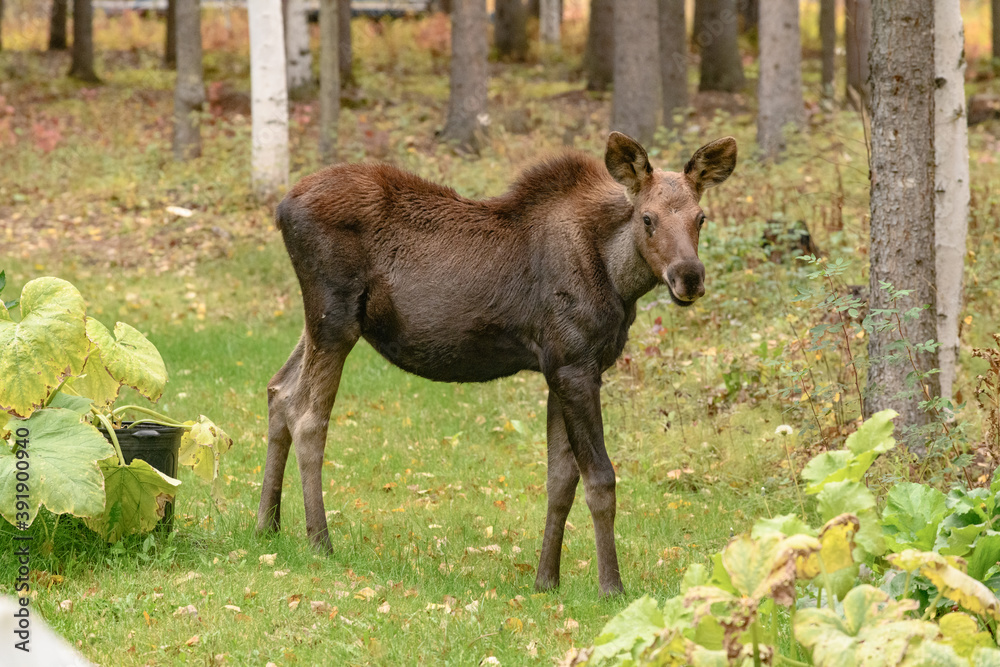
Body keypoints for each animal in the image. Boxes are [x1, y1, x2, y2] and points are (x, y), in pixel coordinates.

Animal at [257, 132, 738, 595]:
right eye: (648, 218)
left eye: (700, 217)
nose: (689, 277)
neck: (618, 280)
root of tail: (281, 209)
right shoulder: (573, 365)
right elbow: (600, 479)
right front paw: (611, 587)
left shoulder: (563, 369)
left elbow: (559, 480)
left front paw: (546, 581)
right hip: (335, 318)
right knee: (308, 415)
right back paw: (320, 540)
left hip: (323, 324)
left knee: (279, 389)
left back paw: (267, 525)